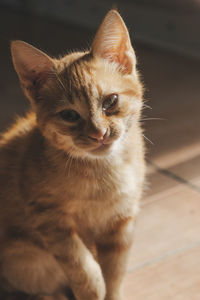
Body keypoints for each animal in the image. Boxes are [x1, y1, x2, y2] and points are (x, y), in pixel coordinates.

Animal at [0, 9, 145, 300]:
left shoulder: (121, 222)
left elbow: (115, 273)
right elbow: (81, 263)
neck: (104, 170)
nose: (99, 133)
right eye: (69, 115)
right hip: (23, 256)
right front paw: (92, 286)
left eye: (110, 101)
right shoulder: (46, 215)